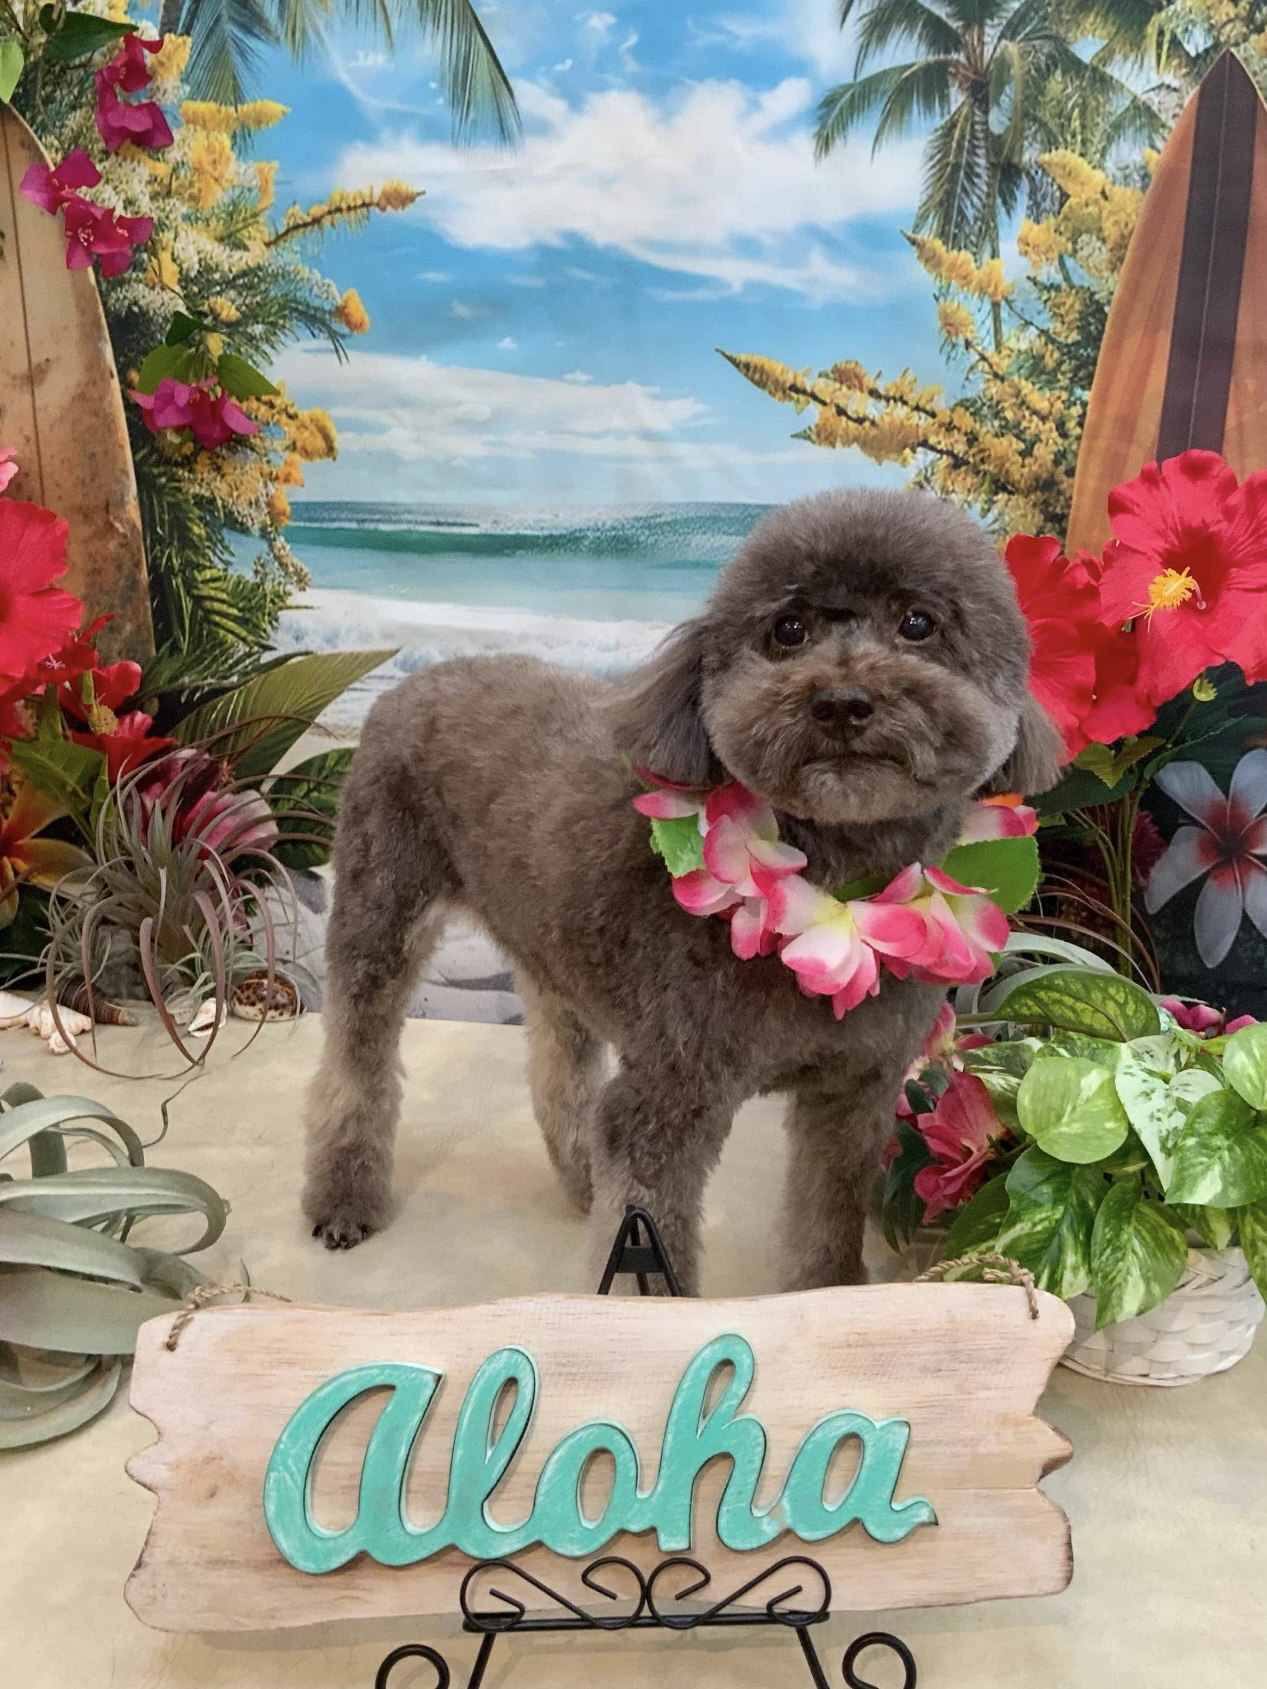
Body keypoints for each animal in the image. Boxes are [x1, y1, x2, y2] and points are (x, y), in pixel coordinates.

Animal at [302, 489, 1062, 1292]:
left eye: (917, 622)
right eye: (786, 630)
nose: (842, 700)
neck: (837, 889)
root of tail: (414, 681)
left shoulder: (856, 1092)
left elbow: (826, 1225)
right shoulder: (669, 1098)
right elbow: (650, 1246)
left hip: (552, 945)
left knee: (559, 1071)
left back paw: (580, 1177)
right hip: (380, 906)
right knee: (354, 1065)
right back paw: (344, 1197)